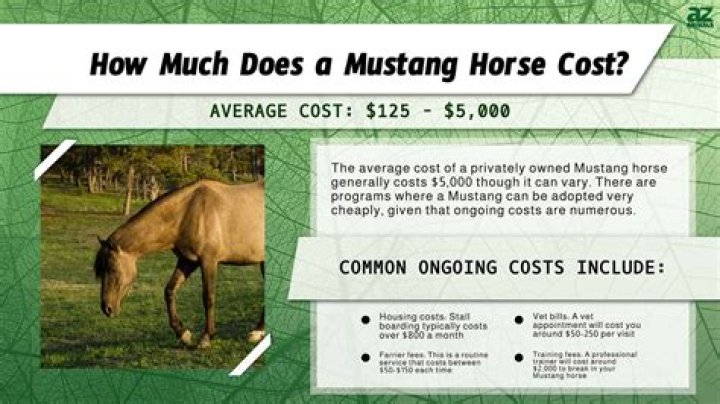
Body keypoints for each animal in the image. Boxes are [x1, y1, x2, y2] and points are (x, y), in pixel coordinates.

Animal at [93, 179, 265, 349]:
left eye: (112, 269)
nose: (106, 308)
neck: (188, 213)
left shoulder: (208, 261)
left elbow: (208, 297)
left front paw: (206, 337)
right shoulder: (187, 261)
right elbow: (170, 290)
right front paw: (183, 334)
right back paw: (258, 332)